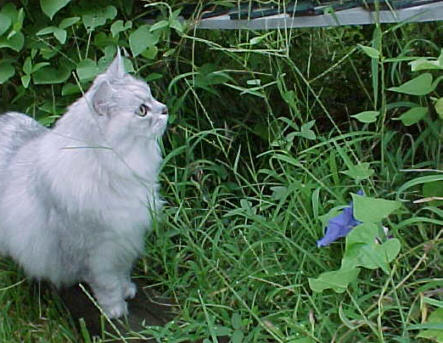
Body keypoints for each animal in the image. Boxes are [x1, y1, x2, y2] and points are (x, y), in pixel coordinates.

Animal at [0, 51, 168, 320]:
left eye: (152, 95)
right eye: (142, 110)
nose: (165, 109)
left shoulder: (124, 243)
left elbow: (122, 275)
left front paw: (127, 291)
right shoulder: (96, 255)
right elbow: (108, 286)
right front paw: (115, 311)